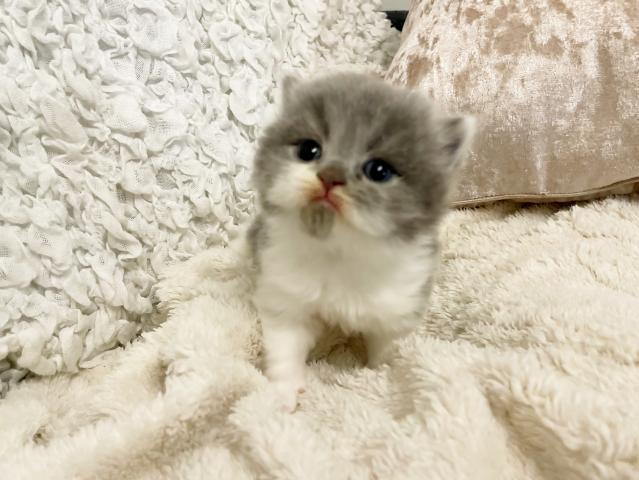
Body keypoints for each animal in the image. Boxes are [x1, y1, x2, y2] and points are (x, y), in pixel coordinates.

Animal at [248, 72, 474, 411]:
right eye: (309, 150)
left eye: (379, 171)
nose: (329, 176)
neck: (339, 251)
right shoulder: (285, 298)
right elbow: (284, 349)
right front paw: (283, 394)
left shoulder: (396, 311)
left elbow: (386, 353)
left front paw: (382, 378)